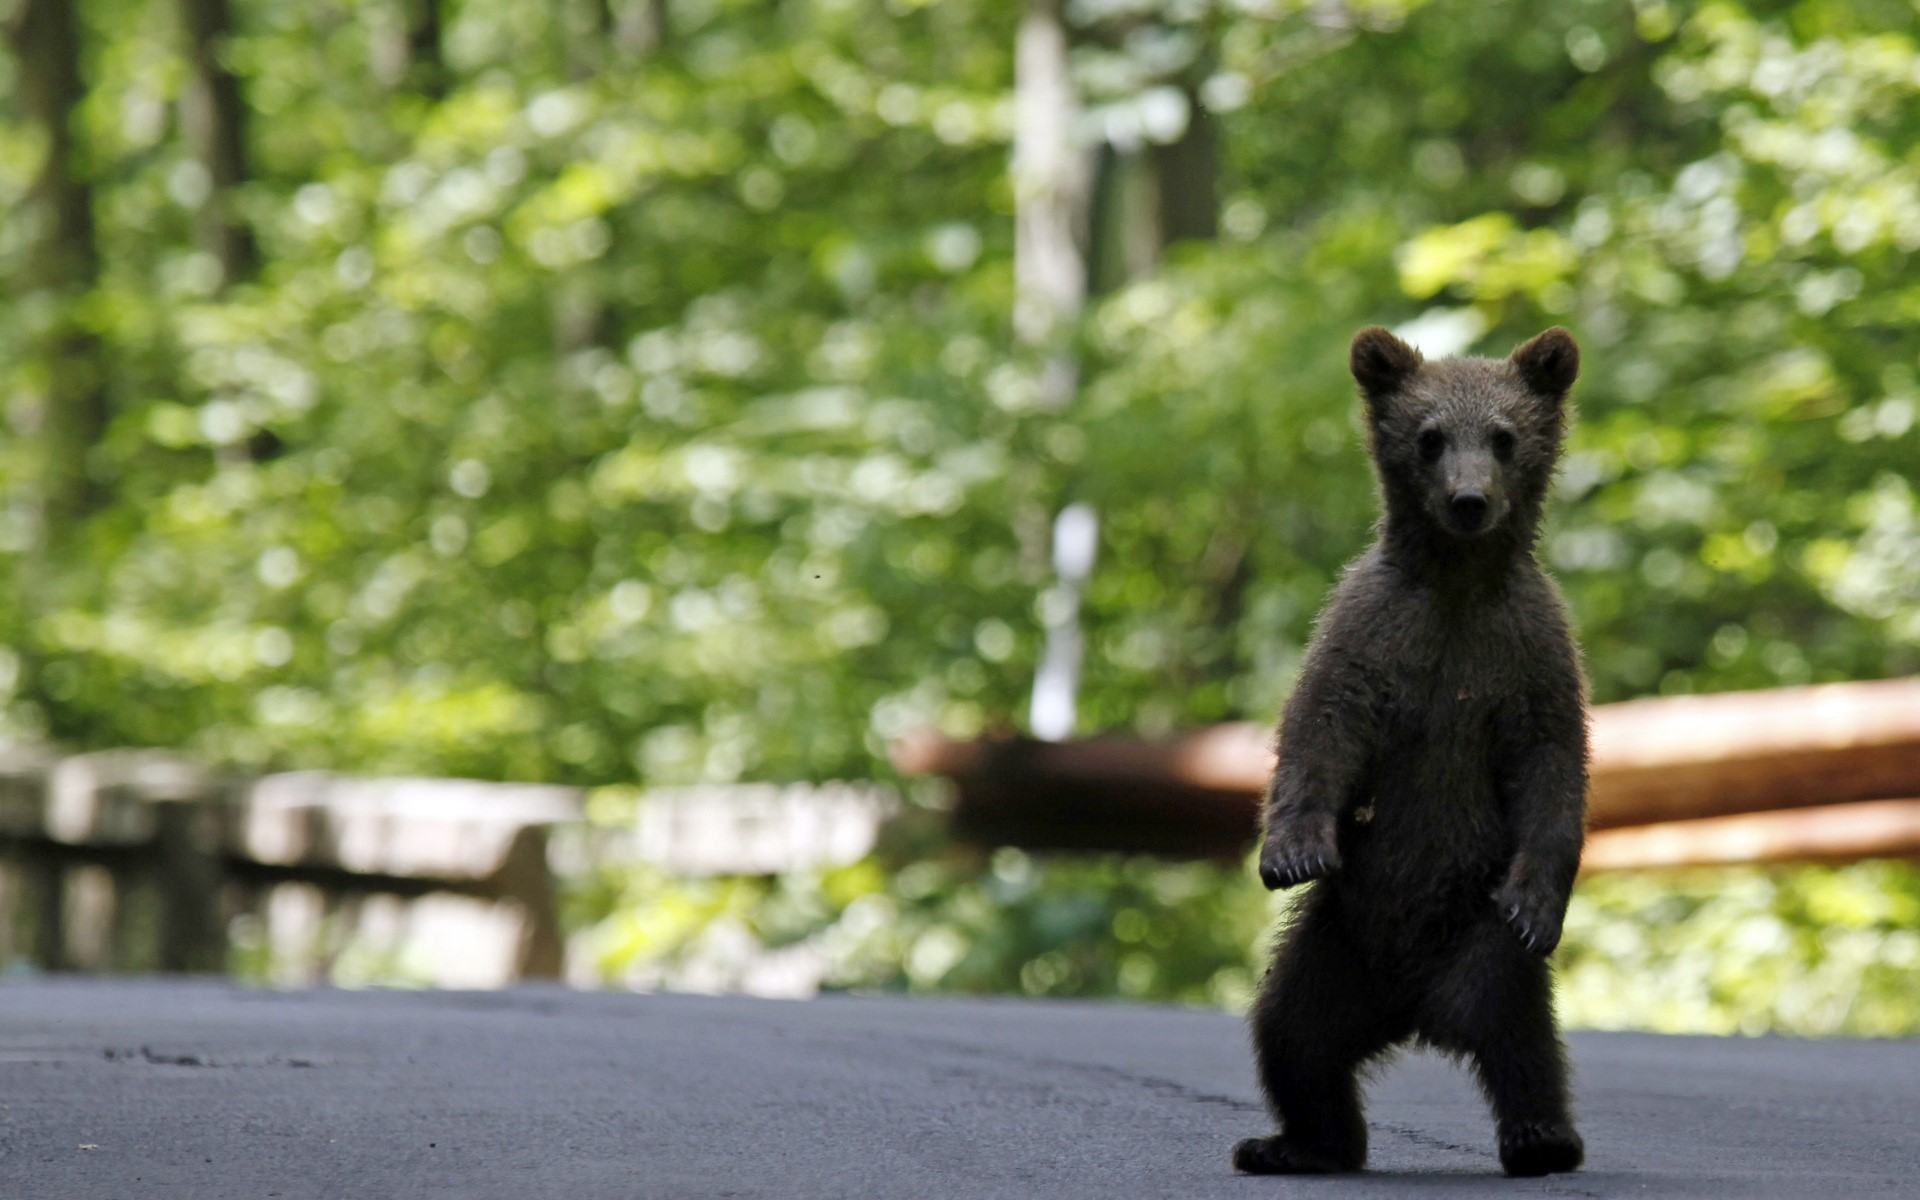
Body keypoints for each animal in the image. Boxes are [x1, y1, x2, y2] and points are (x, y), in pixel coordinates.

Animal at [1232, 325, 1589, 1179]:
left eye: (1504, 436)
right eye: (1429, 437)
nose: (1470, 501)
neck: (1458, 584)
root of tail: (1415, 1011)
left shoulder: (1530, 651)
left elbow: (1553, 766)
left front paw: (1539, 900)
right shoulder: (1372, 630)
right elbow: (1321, 729)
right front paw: (1292, 849)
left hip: (1477, 933)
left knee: (1520, 1037)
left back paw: (1541, 1137)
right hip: (1335, 944)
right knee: (1292, 1036)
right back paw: (1296, 1141)